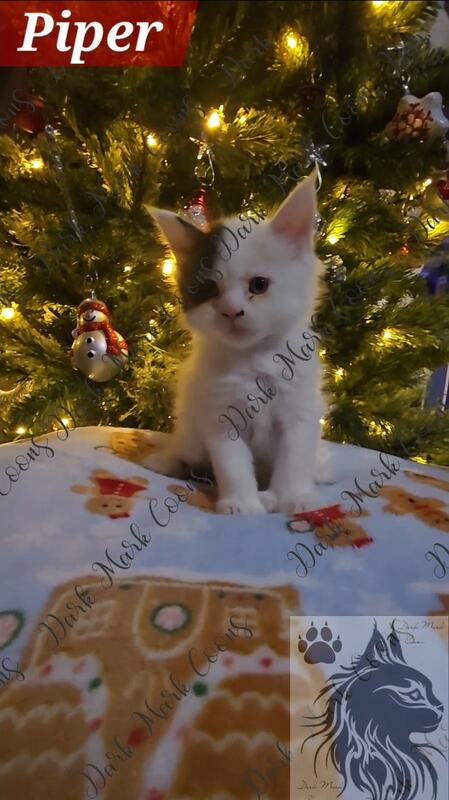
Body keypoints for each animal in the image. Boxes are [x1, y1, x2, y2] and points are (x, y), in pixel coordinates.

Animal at [144, 171, 326, 514]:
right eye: (209, 290)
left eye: (259, 285)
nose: (231, 311)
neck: (253, 360)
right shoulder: (218, 414)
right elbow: (232, 464)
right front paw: (242, 502)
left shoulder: (300, 410)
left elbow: (294, 460)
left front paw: (292, 497)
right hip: (191, 421)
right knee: (185, 449)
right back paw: (167, 461)